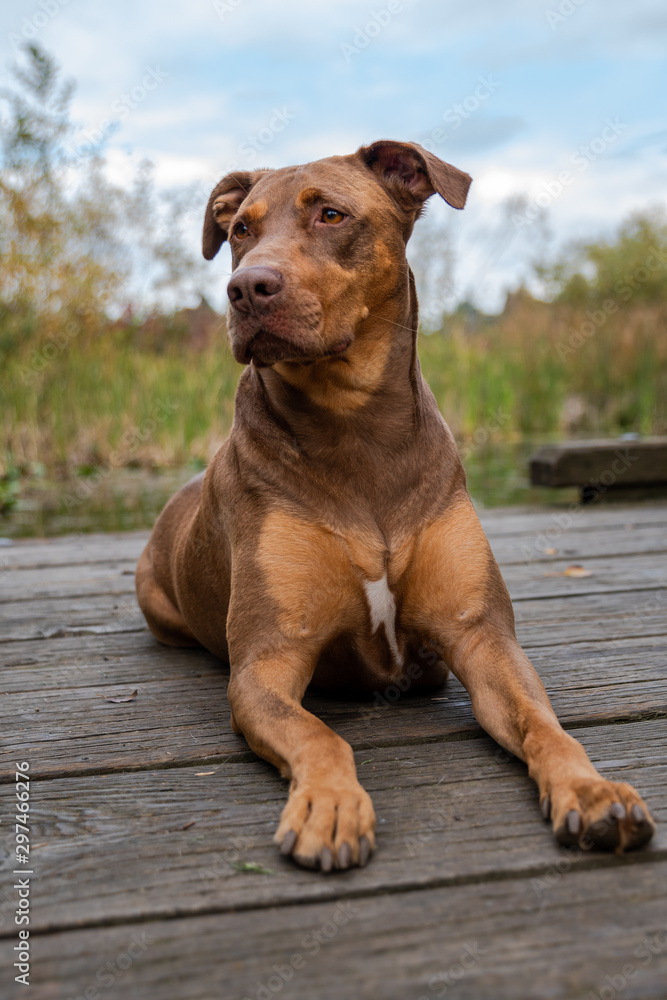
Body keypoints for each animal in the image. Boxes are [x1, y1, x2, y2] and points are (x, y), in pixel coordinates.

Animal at [134, 139, 652, 868]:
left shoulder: (481, 637)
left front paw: (591, 790)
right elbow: (317, 733)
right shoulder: (267, 664)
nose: (246, 288)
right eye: (240, 230)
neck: (355, 425)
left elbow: (543, 724)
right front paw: (328, 805)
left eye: (330, 213)